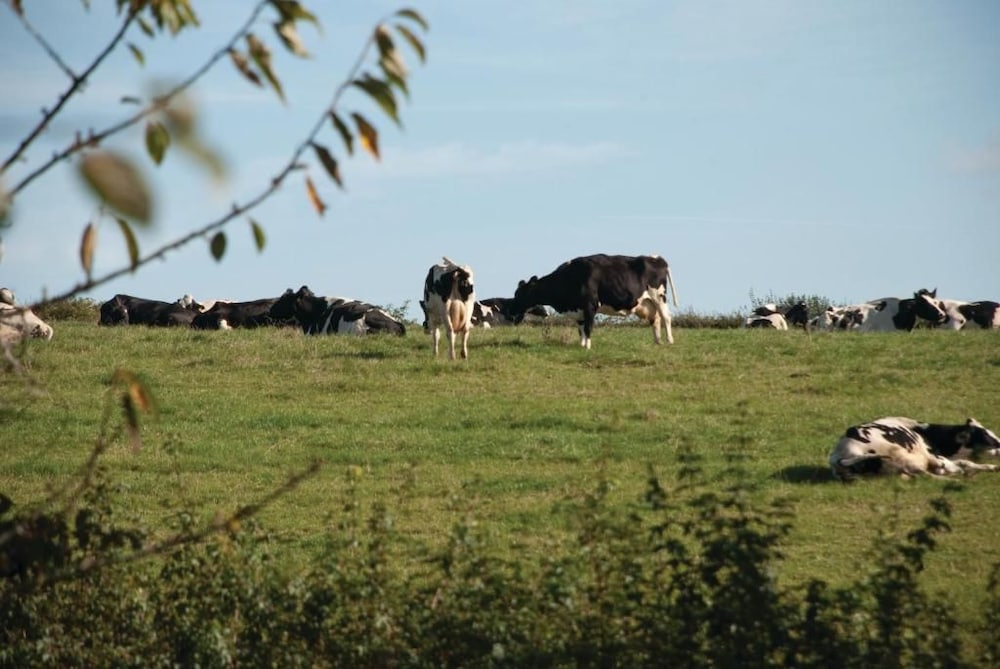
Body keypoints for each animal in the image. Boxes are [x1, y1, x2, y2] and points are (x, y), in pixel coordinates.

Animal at [503, 253, 679, 349]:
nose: (509, 311)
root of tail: (656, 258)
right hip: (647, 303)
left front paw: (587, 347)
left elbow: (588, 328)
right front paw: (581, 345)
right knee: (655, 319)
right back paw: (657, 341)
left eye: (521, 294)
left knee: (666, 317)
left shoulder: (590, 305)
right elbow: (581, 328)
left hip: (659, 296)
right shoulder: (579, 309)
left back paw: (670, 341)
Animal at [829, 416, 1000, 481]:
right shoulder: (935, 456)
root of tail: (839, 455)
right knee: (927, 474)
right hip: (898, 455)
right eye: (988, 438)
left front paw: (992, 467)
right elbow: (962, 464)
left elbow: (966, 462)